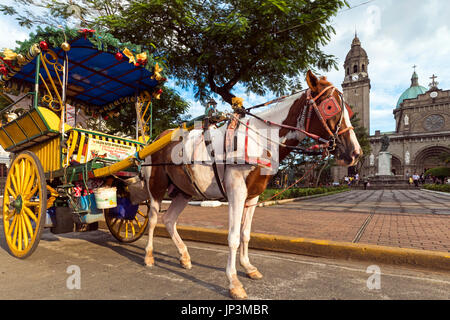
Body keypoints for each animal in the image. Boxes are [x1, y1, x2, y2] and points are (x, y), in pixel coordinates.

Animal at [141, 70, 362, 300]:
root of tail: (156, 139)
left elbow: (245, 234)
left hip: (184, 190)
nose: (355, 153)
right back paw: (149, 256)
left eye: (348, 110)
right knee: (153, 218)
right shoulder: (236, 193)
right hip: (156, 186)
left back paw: (184, 256)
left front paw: (247, 267)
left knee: (169, 219)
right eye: (330, 107)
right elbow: (233, 237)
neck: (260, 140)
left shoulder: (253, 196)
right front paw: (234, 282)